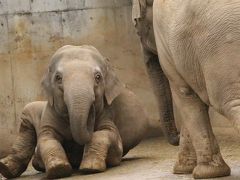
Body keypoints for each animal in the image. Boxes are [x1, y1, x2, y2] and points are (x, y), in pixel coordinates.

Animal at [0, 45, 149, 179]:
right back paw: (6, 168)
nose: (92, 109)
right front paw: (59, 170)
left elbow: (106, 133)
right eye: (58, 77)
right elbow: (47, 139)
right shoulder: (50, 115)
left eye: (98, 77)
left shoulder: (108, 113)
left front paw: (90, 168)